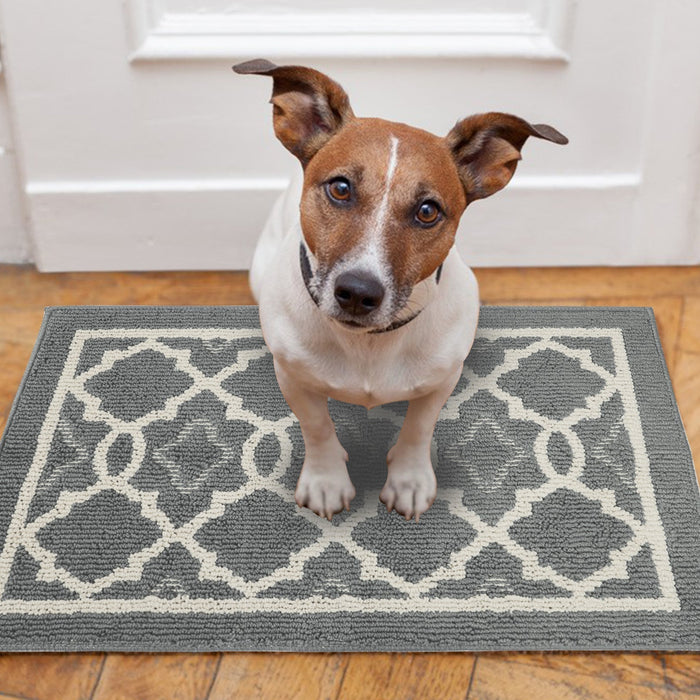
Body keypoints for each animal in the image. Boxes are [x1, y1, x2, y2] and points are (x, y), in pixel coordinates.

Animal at [232, 58, 568, 520]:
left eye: (428, 211)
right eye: (340, 188)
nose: (358, 292)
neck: (370, 345)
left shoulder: (440, 380)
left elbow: (418, 428)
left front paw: (409, 480)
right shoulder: (295, 380)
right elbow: (317, 426)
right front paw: (326, 480)